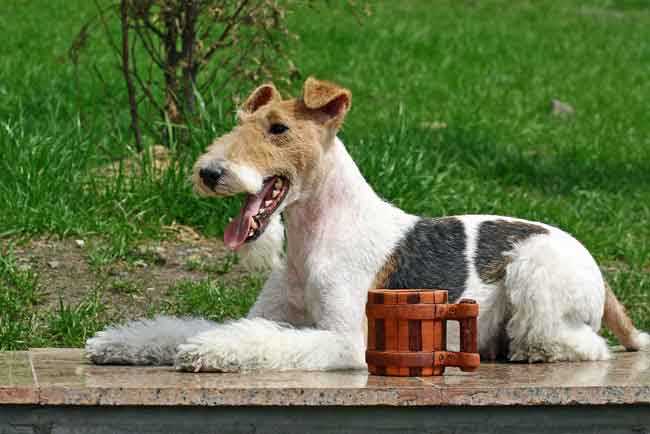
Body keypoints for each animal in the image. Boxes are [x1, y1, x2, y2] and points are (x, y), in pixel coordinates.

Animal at [86, 77, 648, 370]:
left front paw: (208, 350)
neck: (313, 239)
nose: (209, 172)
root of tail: (598, 271)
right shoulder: (272, 313)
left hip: (536, 273)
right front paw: (119, 343)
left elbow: (259, 340)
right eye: (240, 123)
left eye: (278, 128)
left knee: (579, 345)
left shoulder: (342, 339)